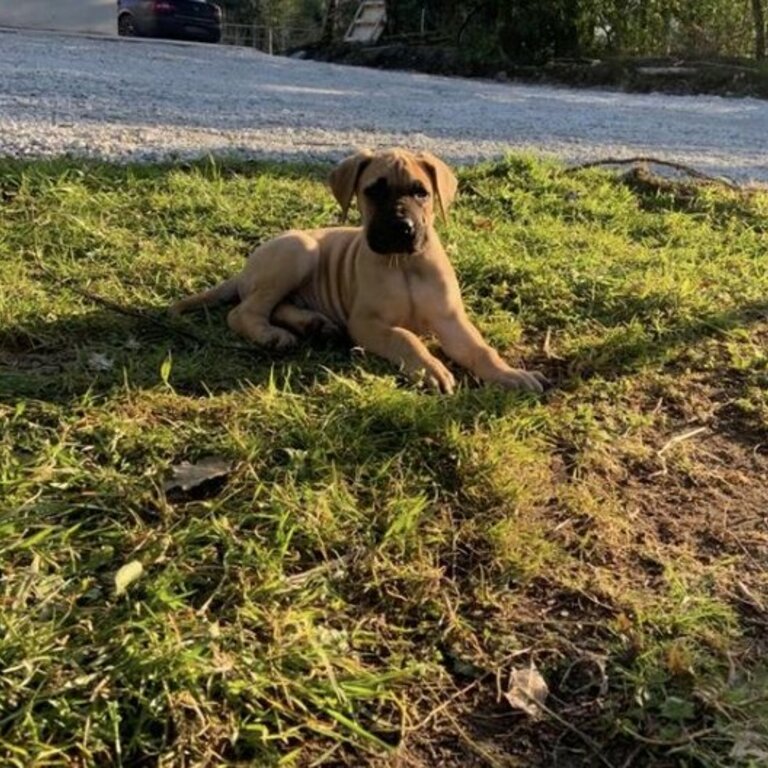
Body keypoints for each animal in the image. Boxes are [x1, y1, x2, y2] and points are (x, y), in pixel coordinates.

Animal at [170, 148, 544, 396]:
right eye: (373, 191)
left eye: (421, 193)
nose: (402, 228)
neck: (404, 264)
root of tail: (247, 267)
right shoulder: (365, 324)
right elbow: (404, 338)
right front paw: (430, 368)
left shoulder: (451, 320)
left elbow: (481, 349)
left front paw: (510, 374)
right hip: (300, 251)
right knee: (243, 312)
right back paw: (272, 335)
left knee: (276, 306)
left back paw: (314, 324)